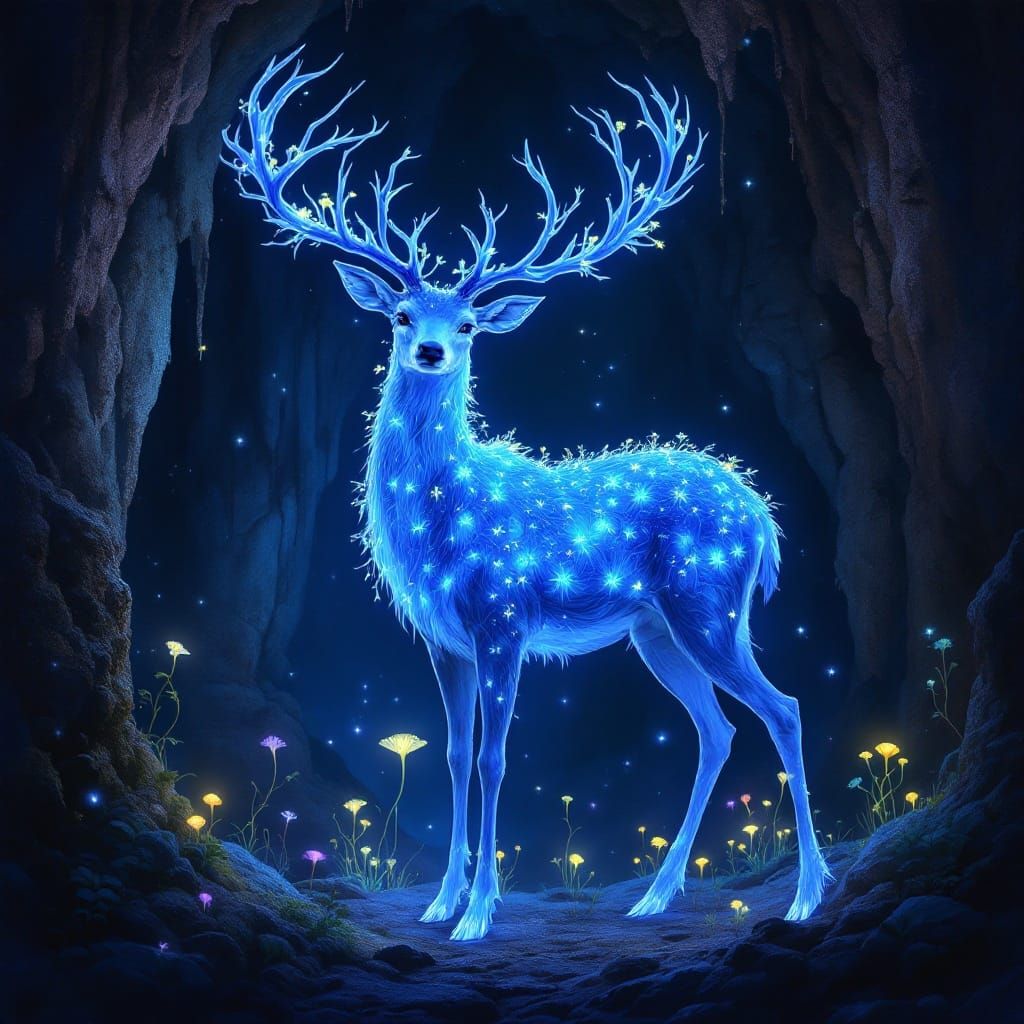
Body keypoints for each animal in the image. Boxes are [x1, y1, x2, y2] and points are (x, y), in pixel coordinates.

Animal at [224, 48, 832, 941]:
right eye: (400, 315)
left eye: (470, 325)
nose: (434, 350)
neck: (439, 524)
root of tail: (762, 516)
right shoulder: (441, 637)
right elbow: (450, 752)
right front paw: (440, 901)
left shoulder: (503, 616)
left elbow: (494, 755)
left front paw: (478, 915)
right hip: (655, 630)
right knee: (717, 728)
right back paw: (655, 896)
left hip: (707, 601)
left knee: (781, 706)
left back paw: (804, 896)